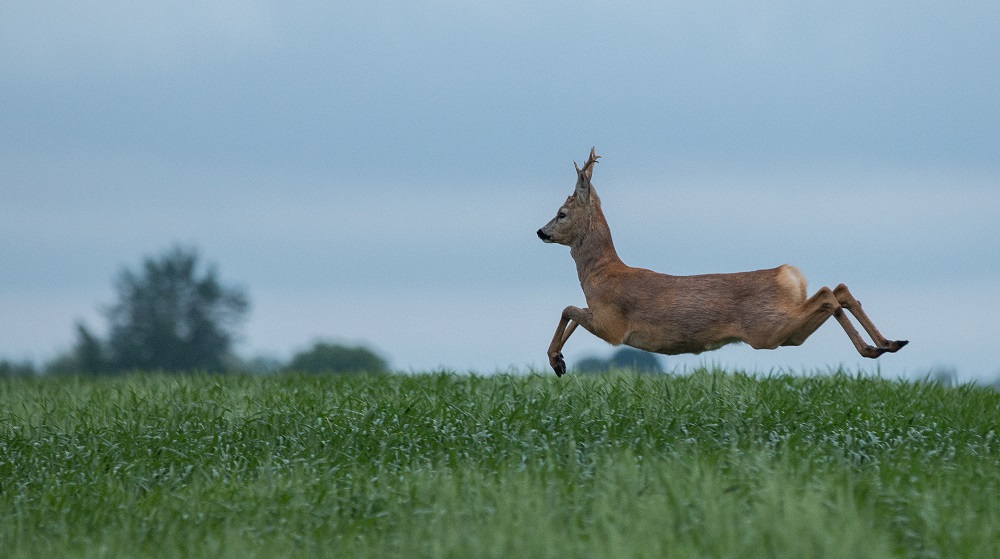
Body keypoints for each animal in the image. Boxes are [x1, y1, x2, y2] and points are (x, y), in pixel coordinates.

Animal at [540, 149, 908, 376]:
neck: (599, 275)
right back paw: (889, 343)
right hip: (786, 333)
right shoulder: (602, 318)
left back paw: (874, 348)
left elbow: (567, 309)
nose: (541, 231)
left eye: (561, 213)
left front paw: (556, 361)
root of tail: (789, 276)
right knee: (838, 289)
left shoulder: (611, 325)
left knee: (829, 295)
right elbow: (570, 311)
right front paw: (559, 360)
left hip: (767, 329)